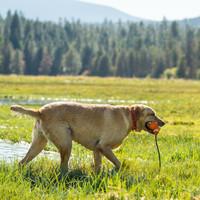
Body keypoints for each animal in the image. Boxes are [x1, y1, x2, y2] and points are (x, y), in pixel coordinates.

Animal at [10, 102, 165, 173]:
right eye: (152, 114)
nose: (163, 123)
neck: (129, 117)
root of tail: (40, 111)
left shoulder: (97, 149)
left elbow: (98, 166)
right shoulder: (104, 146)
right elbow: (118, 163)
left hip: (38, 144)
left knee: (22, 162)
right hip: (66, 143)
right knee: (63, 167)